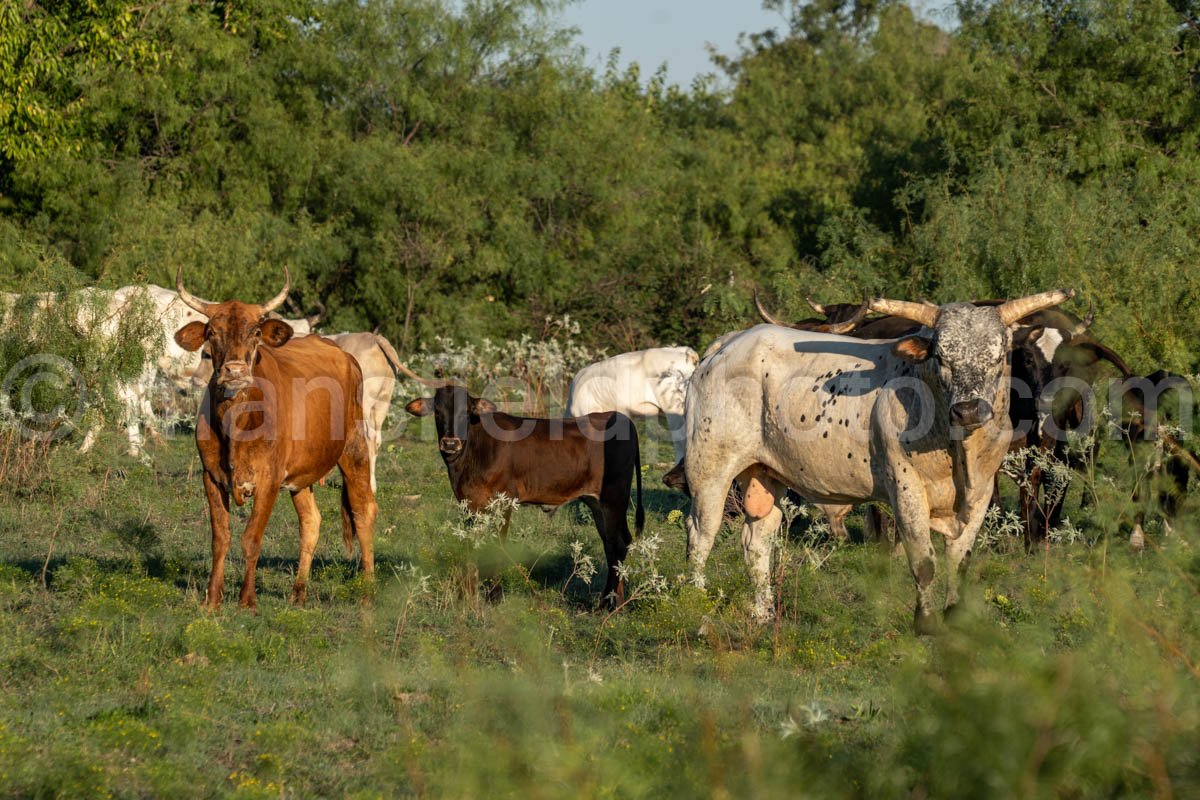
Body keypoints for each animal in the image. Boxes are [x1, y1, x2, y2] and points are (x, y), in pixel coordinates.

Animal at [172, 267, 374, 606]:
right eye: (212, 332)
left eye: (256, 332)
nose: (235, 370)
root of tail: (340, 352)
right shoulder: (210, 477)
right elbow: (220, 538)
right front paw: (212, 600)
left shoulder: (269, 479)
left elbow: (251, 538)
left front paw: (247, 601)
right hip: (302, 474)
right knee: (311, 522)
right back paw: (298, 594)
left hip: (355, 448)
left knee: (363, 511)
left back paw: (368, 590)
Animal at [405, 383, 648, 604]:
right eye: (437, 412)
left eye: (466, 412)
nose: (450, 443)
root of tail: (622, 419)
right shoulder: (468, 504)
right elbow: (470, 544)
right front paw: (465, 594)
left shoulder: (503, 501)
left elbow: (497, 544)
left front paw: (494, 595)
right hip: (597, 502)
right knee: (613, 543)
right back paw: (617, 600)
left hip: (614, 497)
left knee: (618, 544)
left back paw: (606, 603)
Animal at [681, 289, 1075, 633]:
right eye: (941, 355)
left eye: (999, 355)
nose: (968, 410)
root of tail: (732, 341)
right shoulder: (907, 489)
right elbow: (924, 561)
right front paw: (926, 623)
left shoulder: (980, 494)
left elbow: (959, 561)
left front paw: (954, 617)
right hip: (709, 469)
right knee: (701, 535)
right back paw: (697, 606)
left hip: (766, 475)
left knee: (757, 542)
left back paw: (762, 613)